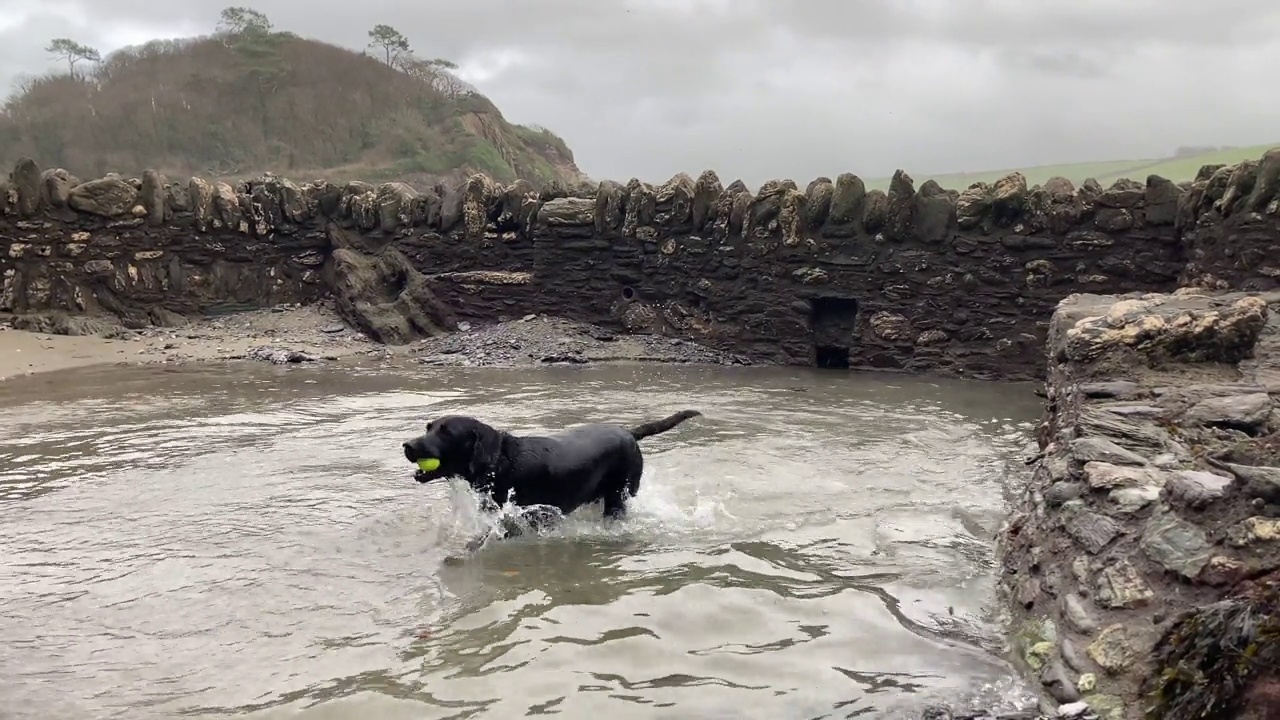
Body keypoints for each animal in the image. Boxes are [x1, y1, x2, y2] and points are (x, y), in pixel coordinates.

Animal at [399, 409, 701, 543]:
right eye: (428, 427)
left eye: (446, 432)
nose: (407, 445)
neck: (499, 461)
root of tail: (629, 432)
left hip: (620, 496)